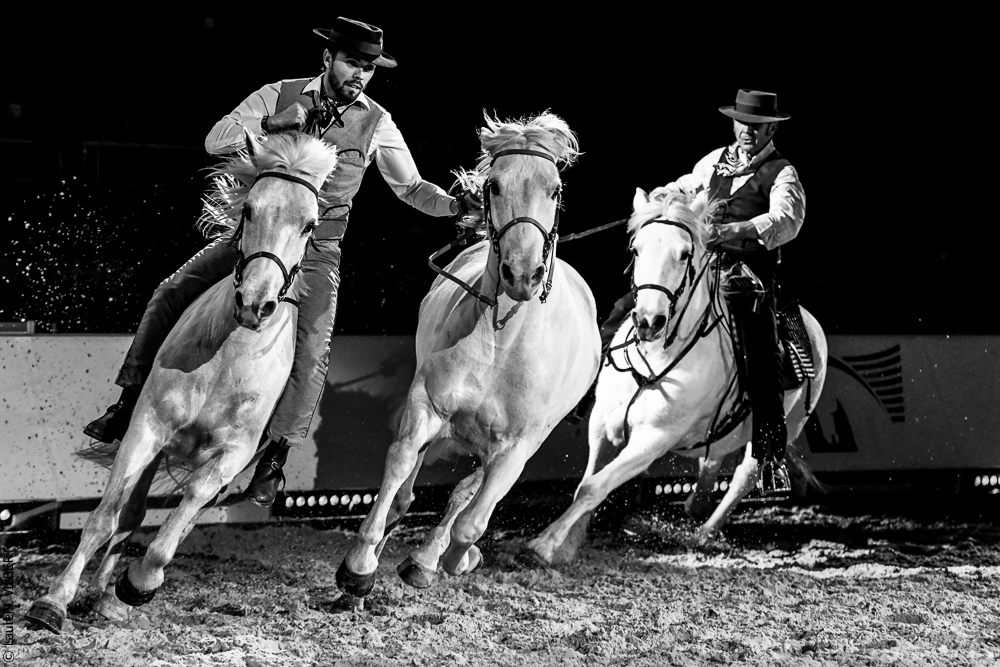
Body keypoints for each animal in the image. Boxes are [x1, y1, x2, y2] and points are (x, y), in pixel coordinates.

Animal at [26, 132, 339, 633]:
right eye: (249, 209)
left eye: (310, 225)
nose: (255, 303)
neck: (228, 359)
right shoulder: (147, 428)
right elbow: (105, 517)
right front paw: (54, 601)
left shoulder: (230, 458)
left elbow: (175, 528)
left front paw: (140, 583)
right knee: (130, 514)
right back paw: (101, 595)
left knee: (181, 518)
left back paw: (119, 591)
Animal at [335, 112, 601, 603]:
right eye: (494, 185)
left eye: (555, 189)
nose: (522, 274)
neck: (502, 341)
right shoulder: (427, 405)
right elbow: (400, 470)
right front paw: (359, 566)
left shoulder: (517, 447)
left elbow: (471, 522)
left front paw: (452, 559)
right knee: (417, 489)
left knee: (465, 497)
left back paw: (429, 559)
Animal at [526, 187, 828, 566]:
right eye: (636, 249)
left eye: (685, 254)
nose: (648, 321)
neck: (658, 356)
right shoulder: (602, 426)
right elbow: (587, 485)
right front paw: (568, 546)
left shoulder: (654, 439)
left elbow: (597, 486)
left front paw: (545, 544)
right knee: (711, 463)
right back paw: (691, 511)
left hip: (778, 425)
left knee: (744, 474)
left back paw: (703, 534)